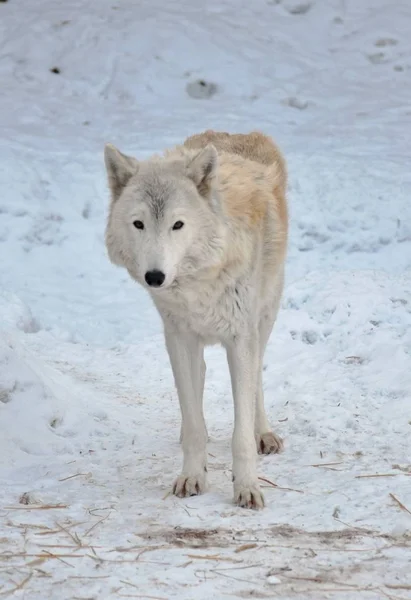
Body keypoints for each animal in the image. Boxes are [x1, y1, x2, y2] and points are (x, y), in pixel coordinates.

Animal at [104, 129, 288, 508]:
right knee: (198, 380)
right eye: (139, 224)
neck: (196, 284)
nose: (154, 277)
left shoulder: (240, 338)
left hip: (264, 319)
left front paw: (246, 487)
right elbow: (193, 422)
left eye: (178, 225)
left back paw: (264, 433)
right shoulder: (179, 336)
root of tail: (242, 134)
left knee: (257, 379)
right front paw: (192, 475)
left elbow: (240, 433)